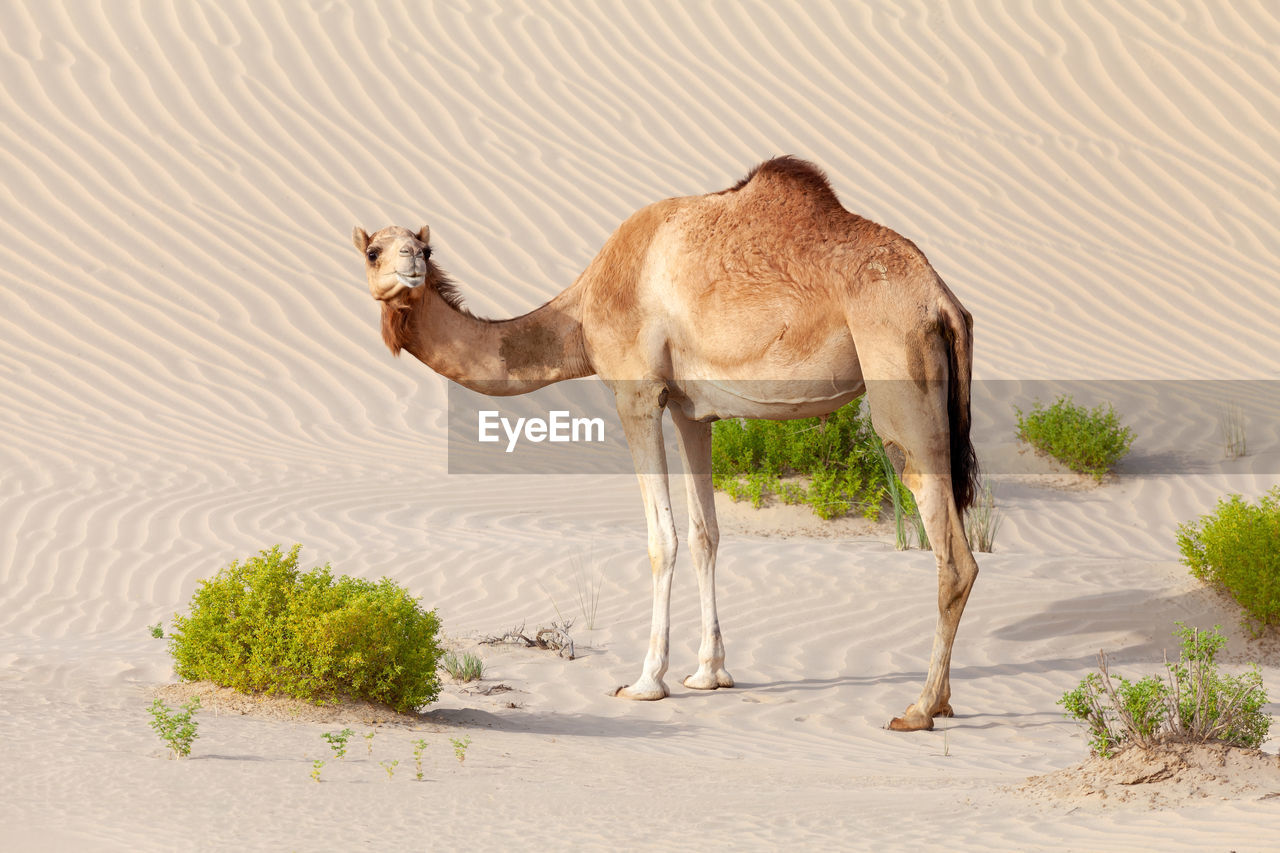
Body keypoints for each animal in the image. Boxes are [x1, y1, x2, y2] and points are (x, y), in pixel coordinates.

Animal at [353, 156, 977, 727]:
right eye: (374, 251)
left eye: (424, 248)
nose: (411, 264)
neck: (582, 315)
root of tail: (942, 300)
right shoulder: (689, 409)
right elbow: (705, 534)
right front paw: (709, 673)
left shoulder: (637, 393)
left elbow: (662, 539)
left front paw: (646, 681)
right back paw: (942, 701)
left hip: (899, 374)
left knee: (953, 553)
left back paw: (919, 708)